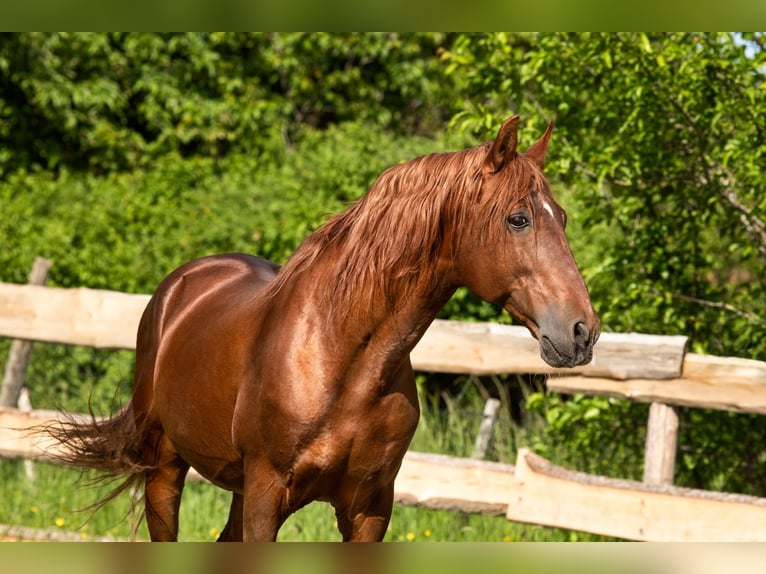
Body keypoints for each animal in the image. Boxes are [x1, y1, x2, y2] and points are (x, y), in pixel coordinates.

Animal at [46, 118, 600, 544]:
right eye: (518, 219)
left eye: (562, 217)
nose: (582, 332)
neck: (341, 361)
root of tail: (180, 287)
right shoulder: (267, 495)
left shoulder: (370, 508)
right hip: (164, 469)